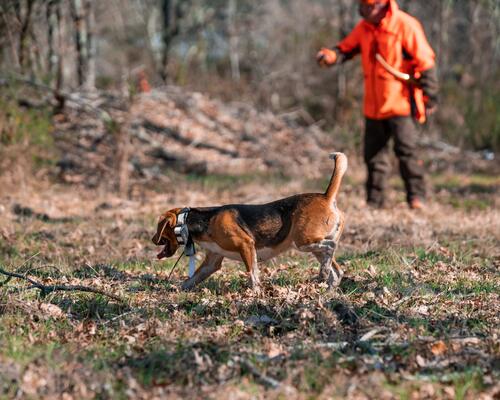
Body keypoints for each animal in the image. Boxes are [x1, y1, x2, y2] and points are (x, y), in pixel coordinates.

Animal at [152, 152, 348, 292]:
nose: (153, 240)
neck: (197, 220)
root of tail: (326, 196)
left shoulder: (246, 245)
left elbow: (252, 275)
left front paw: (255, 295)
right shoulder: (212, 262)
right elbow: (190, 280)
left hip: (303, 241)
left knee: (331, 247)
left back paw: (323, 274)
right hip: (313, 247)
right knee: (336, 270)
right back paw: (327, 288)